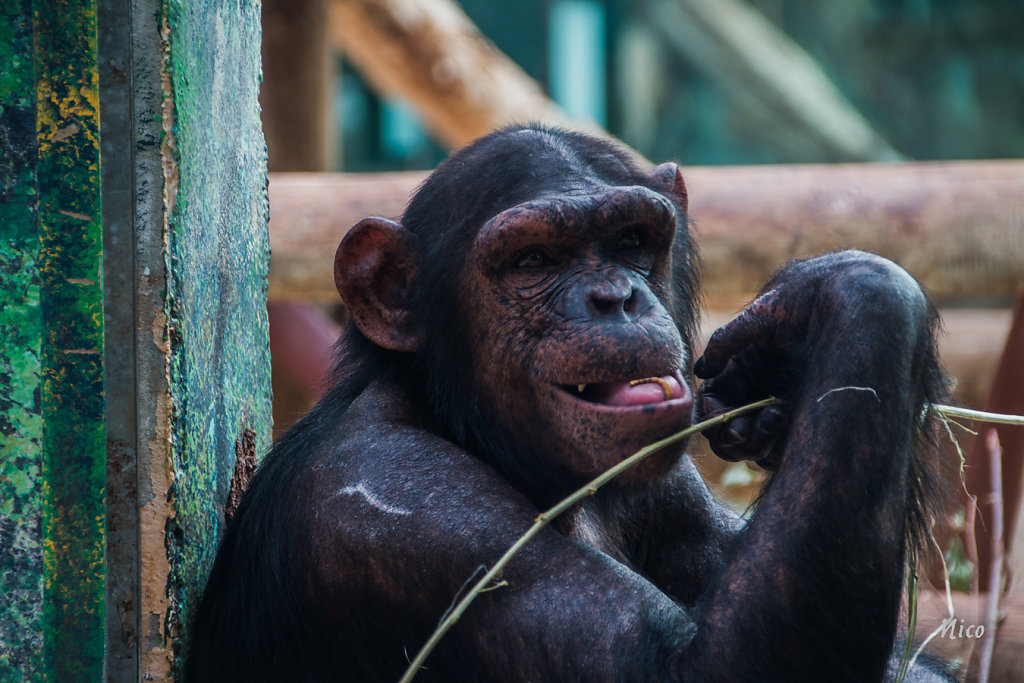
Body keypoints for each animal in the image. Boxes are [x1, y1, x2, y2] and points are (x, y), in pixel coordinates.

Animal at [186, 124, 950, 683]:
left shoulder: (668, 487)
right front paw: (843, 286)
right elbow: (692, 666)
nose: (616, 298)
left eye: (632, 241)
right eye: (533, 261)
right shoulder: (404, 508)